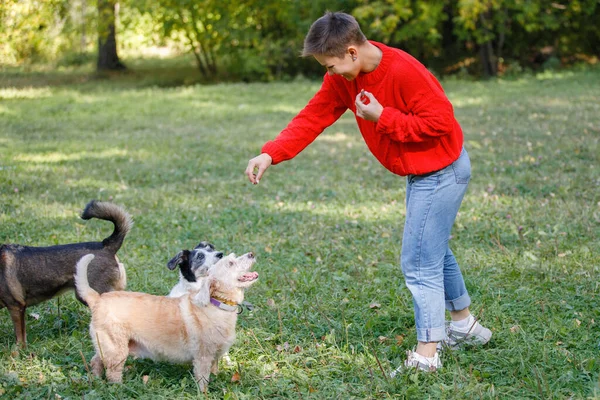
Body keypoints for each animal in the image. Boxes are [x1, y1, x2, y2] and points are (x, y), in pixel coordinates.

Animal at [75, 252, 258, 390]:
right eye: (231, 263)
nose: (252, 254)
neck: (217, 303)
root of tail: (97, 298)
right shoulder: (203, 357)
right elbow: (203, 381)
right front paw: (205, 393)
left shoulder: (215, 357)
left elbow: (214, 371)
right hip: (116, 349)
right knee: (113, 373)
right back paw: (119, 388)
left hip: (106, 346)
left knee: (96, 361)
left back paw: (96, 379)